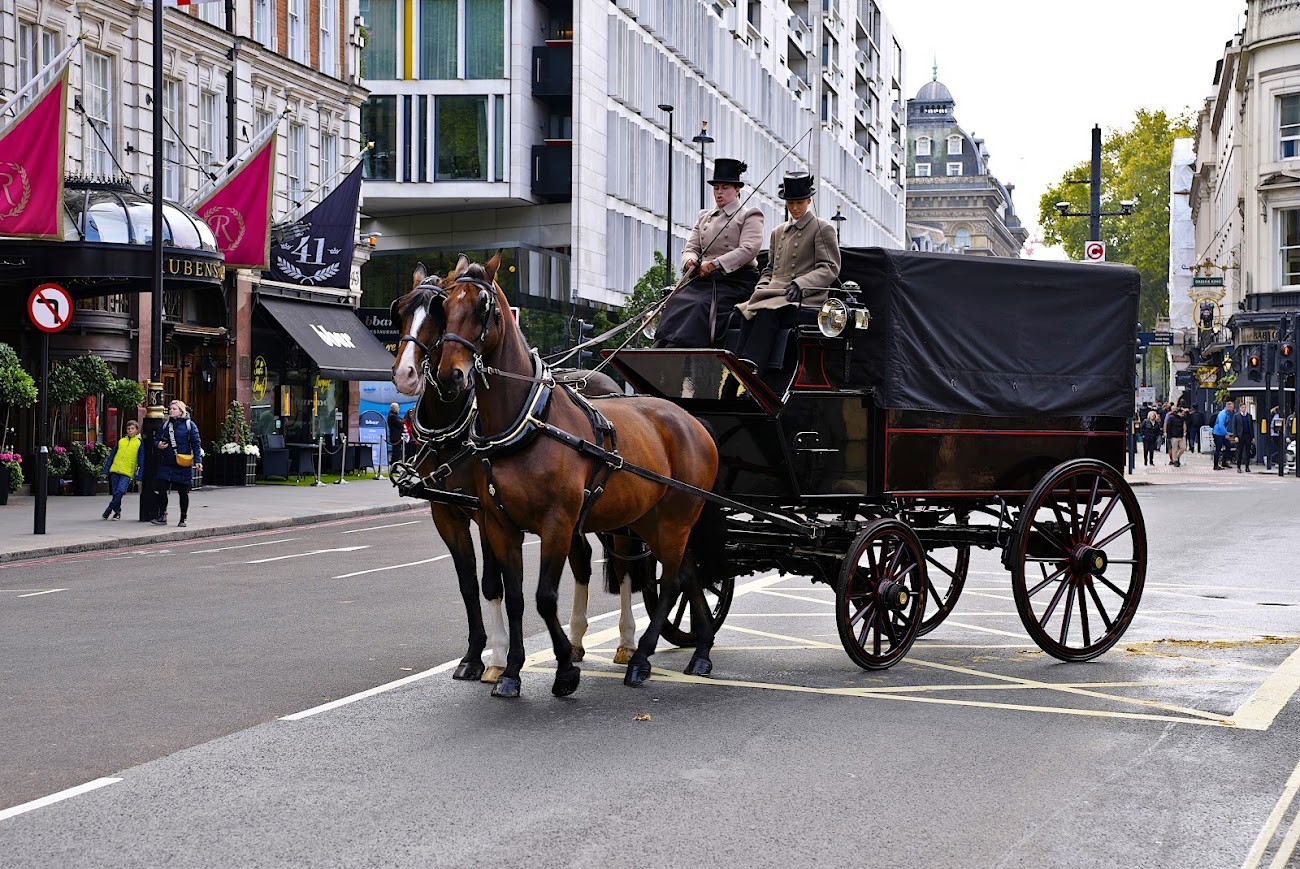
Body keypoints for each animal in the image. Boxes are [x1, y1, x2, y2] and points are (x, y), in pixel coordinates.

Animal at [434, 252, 722, 697]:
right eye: (443, 305)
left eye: (484, 308)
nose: (451, 376)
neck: (528, 421)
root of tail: (691, 419)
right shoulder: (499, 524)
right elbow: (515, 597)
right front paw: (511, 671)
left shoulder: (558, 523)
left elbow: (544, 597)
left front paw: (566, 669)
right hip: (653, 518)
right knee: (689, 571)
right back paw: (702, 649)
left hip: (675, 516)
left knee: (672, 581)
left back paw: (640, 658)